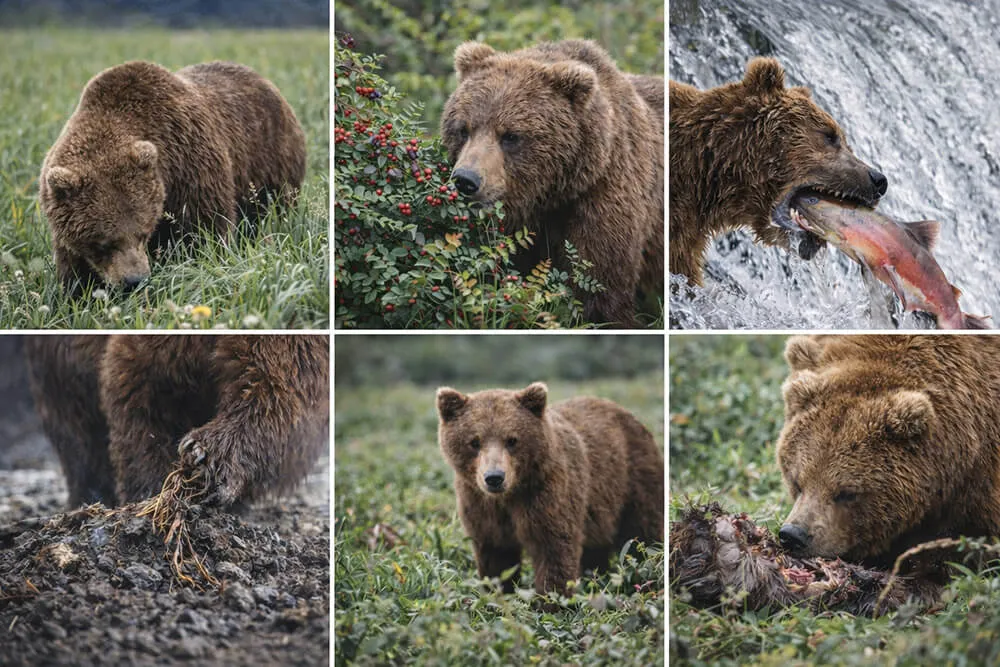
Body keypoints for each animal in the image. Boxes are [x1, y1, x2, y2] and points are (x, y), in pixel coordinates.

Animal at [39, 60, 307, 294]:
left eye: (142, 232)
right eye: (101, 242)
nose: (134, 280)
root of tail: (264, 80)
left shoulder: (190, 165)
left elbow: (204, 231)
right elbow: (73, 267)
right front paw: (79, 292)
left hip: (270, 161)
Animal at [436, 382, 664, 597]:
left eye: (512, 440)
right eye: (474, 441)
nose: (494, 477)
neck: (510, 494)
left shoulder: (546, 496)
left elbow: (554, 550)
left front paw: (550, 600)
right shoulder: (479, 505)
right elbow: (496, 558)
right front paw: (498, 593)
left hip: (632, 482)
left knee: (642, 535)